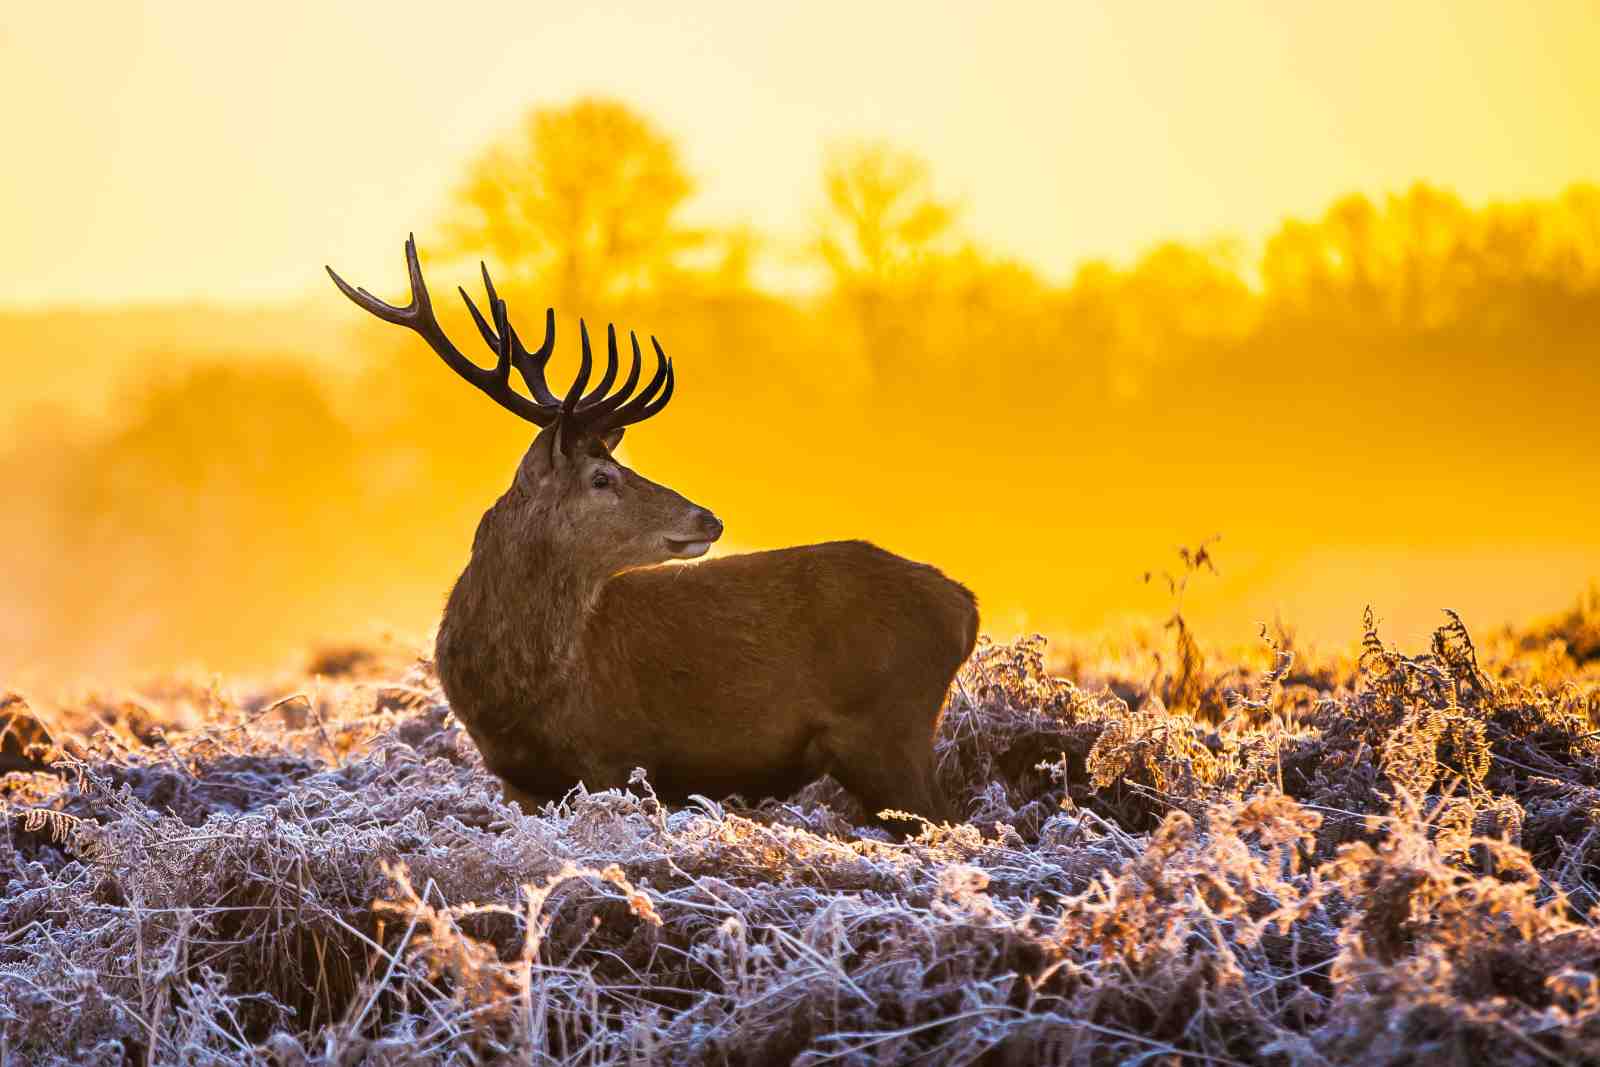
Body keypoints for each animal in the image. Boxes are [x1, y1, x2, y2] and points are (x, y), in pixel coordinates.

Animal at [327, 236, 978, 828]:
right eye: (603, 477)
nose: (709, 518)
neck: (515, 693)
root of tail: (963, 605)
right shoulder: (518, 780)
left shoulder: (614, 759)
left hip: (889, 729)